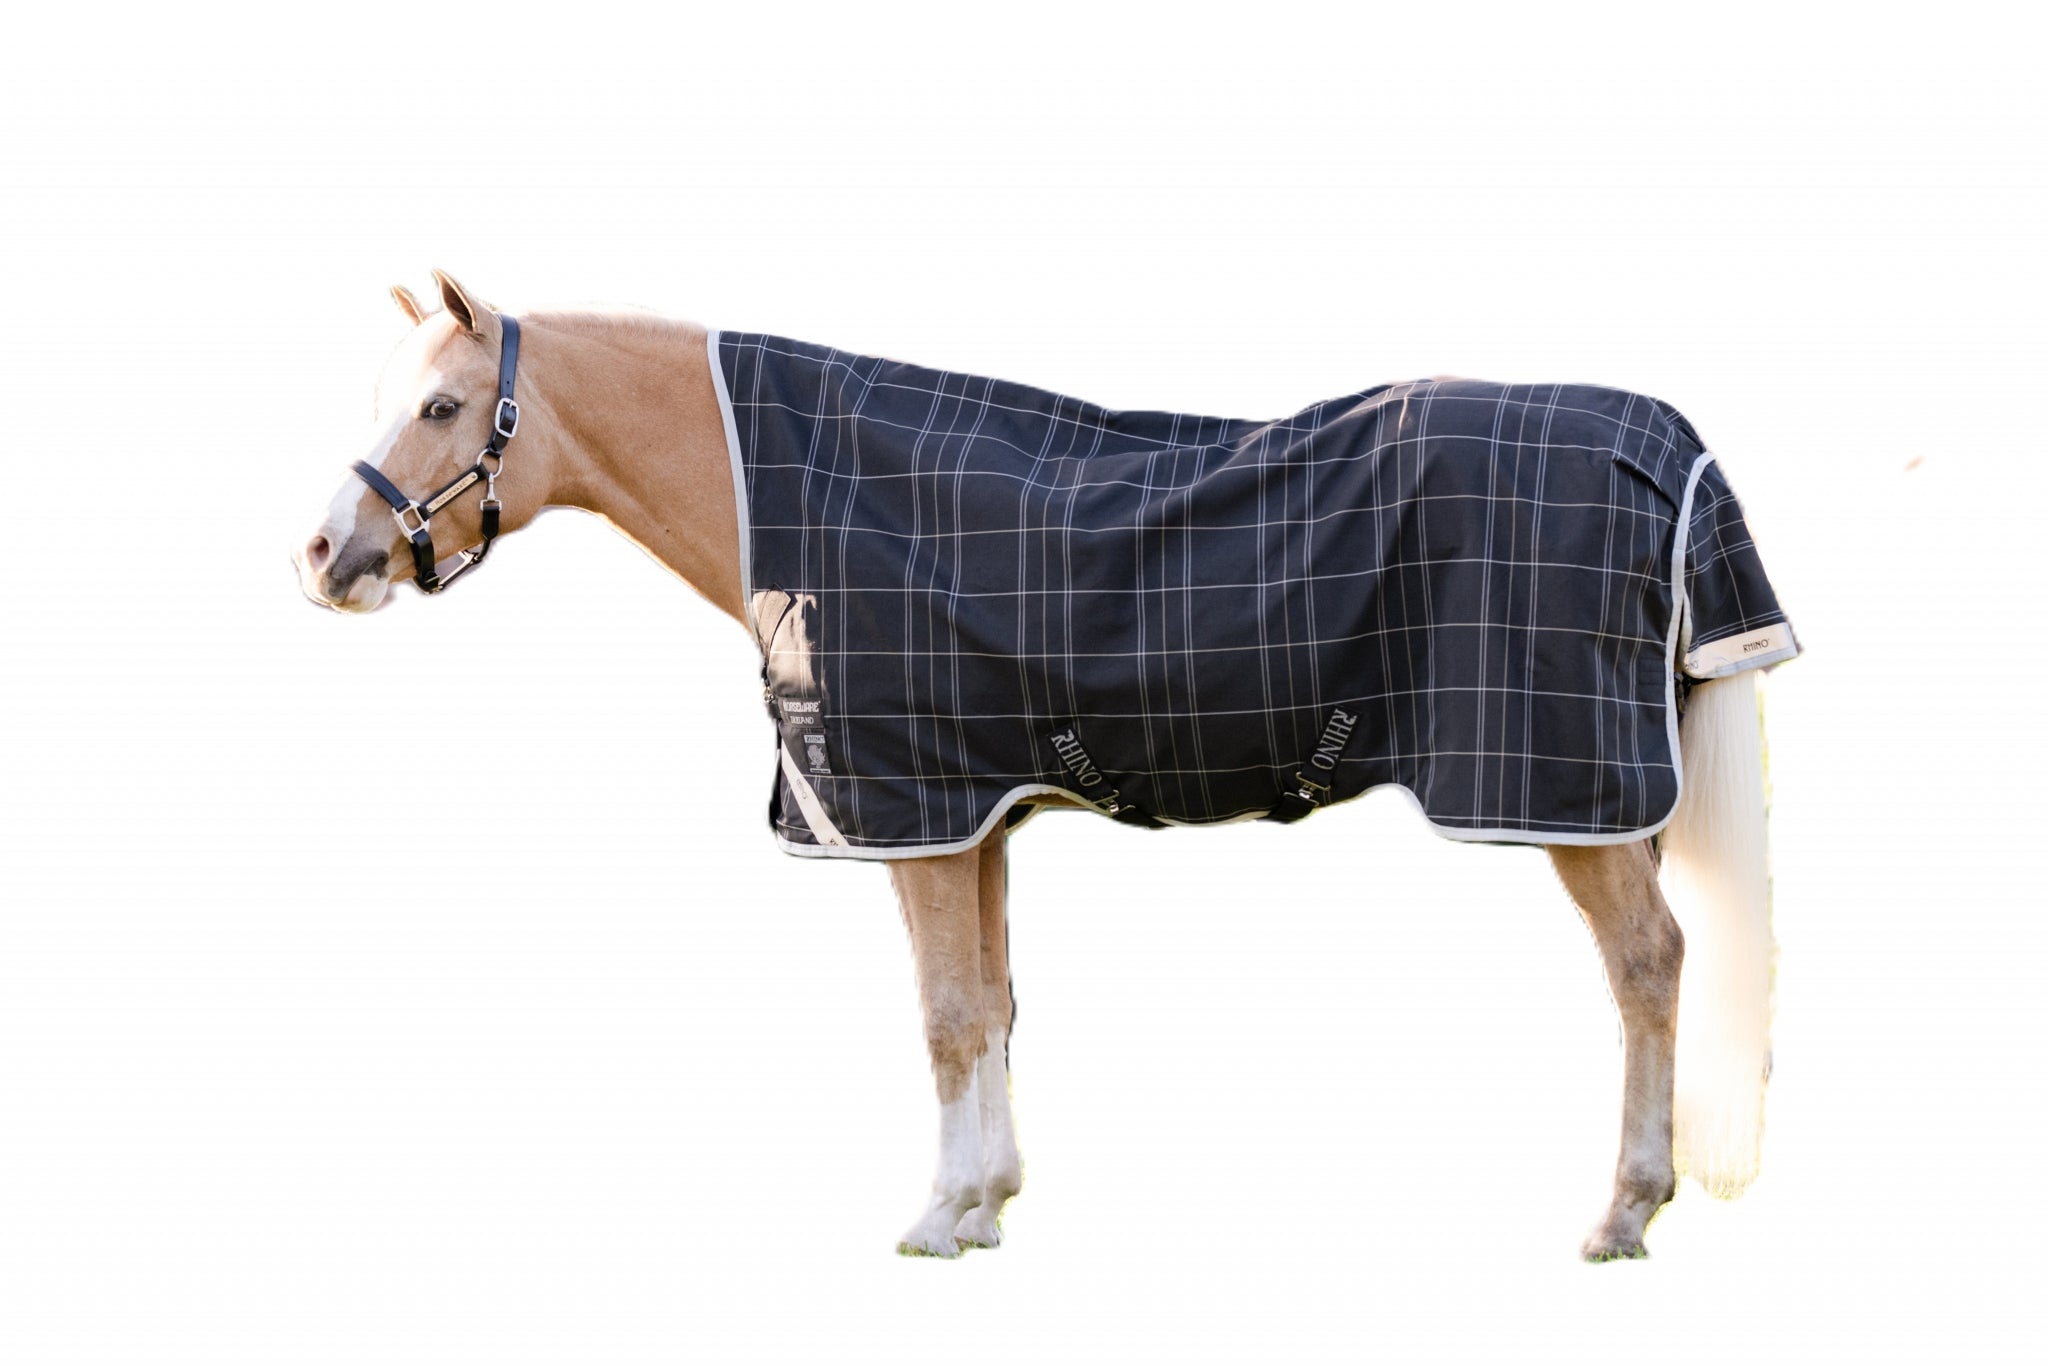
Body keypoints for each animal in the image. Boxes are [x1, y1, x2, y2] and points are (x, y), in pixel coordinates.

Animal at [293, 271, 1789, 1260]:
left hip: (1566, 788)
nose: (324, 557)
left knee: (1647, 961)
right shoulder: (981, 816)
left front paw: (941, 1215)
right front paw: (991, 1194)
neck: (811, 493)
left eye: (443, 405)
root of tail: (1666, 444)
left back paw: (1622, 1208)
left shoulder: (912, 812)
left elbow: (947, 1014)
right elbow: (995, 1004)